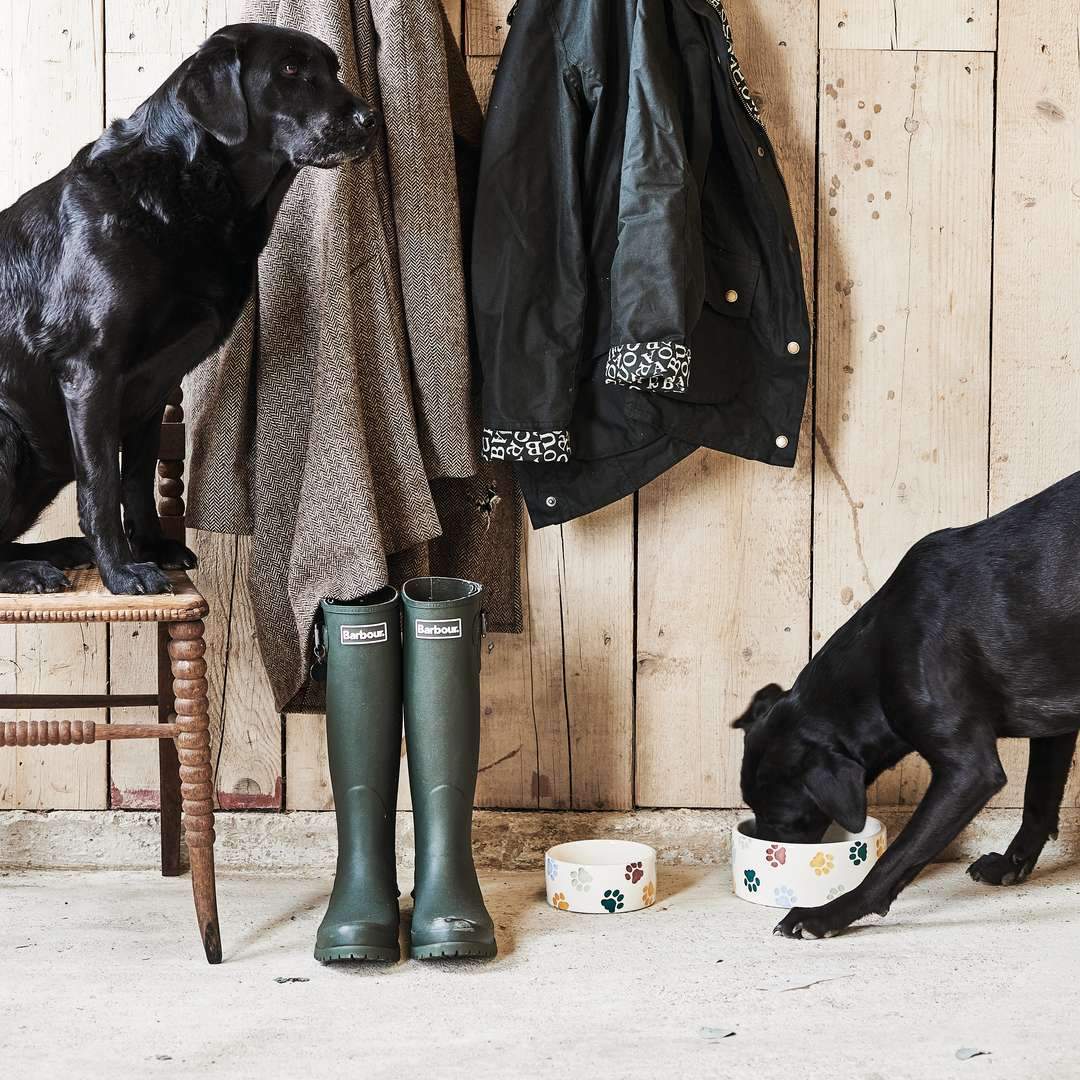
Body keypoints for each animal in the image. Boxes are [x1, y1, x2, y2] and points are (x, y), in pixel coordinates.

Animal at [0, 25, 380, 596]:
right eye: (290, 70)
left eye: (333, 68)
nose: (371, 119)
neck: (187, 194)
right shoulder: (91, 372)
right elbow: (100, 487)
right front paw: (122, 572)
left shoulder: (153, 386)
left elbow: (136, 479)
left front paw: (154, 548)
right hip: (7, 429)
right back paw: (33, 569)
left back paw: (57, 552)